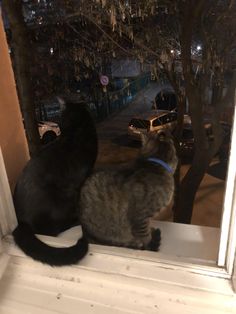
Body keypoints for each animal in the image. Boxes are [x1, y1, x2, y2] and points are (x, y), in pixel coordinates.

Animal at [12, 100, 97, 264]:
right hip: (58, 201)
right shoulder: (81, 178)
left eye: (60, 118)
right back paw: (74, 221)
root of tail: (21, 222)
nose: (57, 126)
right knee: (52, 231)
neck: (76, 134)